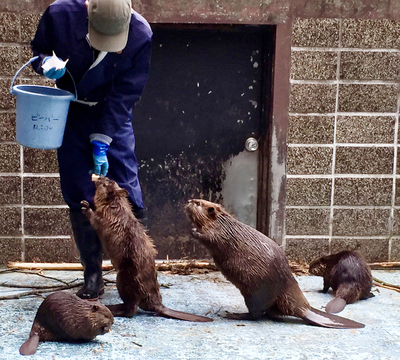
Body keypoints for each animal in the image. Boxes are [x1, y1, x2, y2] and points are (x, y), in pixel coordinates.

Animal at [80, 177, 212, 324]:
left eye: (106, 182)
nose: (99, 177)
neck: (116, 207)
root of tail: (158, 305)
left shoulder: (107, 219)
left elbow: (96, 220)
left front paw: (85, 206)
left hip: (124, 278)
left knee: (131, 309)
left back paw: (112, 308)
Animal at [186, 200, 364, 330]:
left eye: (198, 203)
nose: (189, 200)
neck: (225, 223)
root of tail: (305, 309)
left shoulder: (219, 233)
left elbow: (209, 237)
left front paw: (194, 230)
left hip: (255, 294)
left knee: (256, 314)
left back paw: (232, 314)